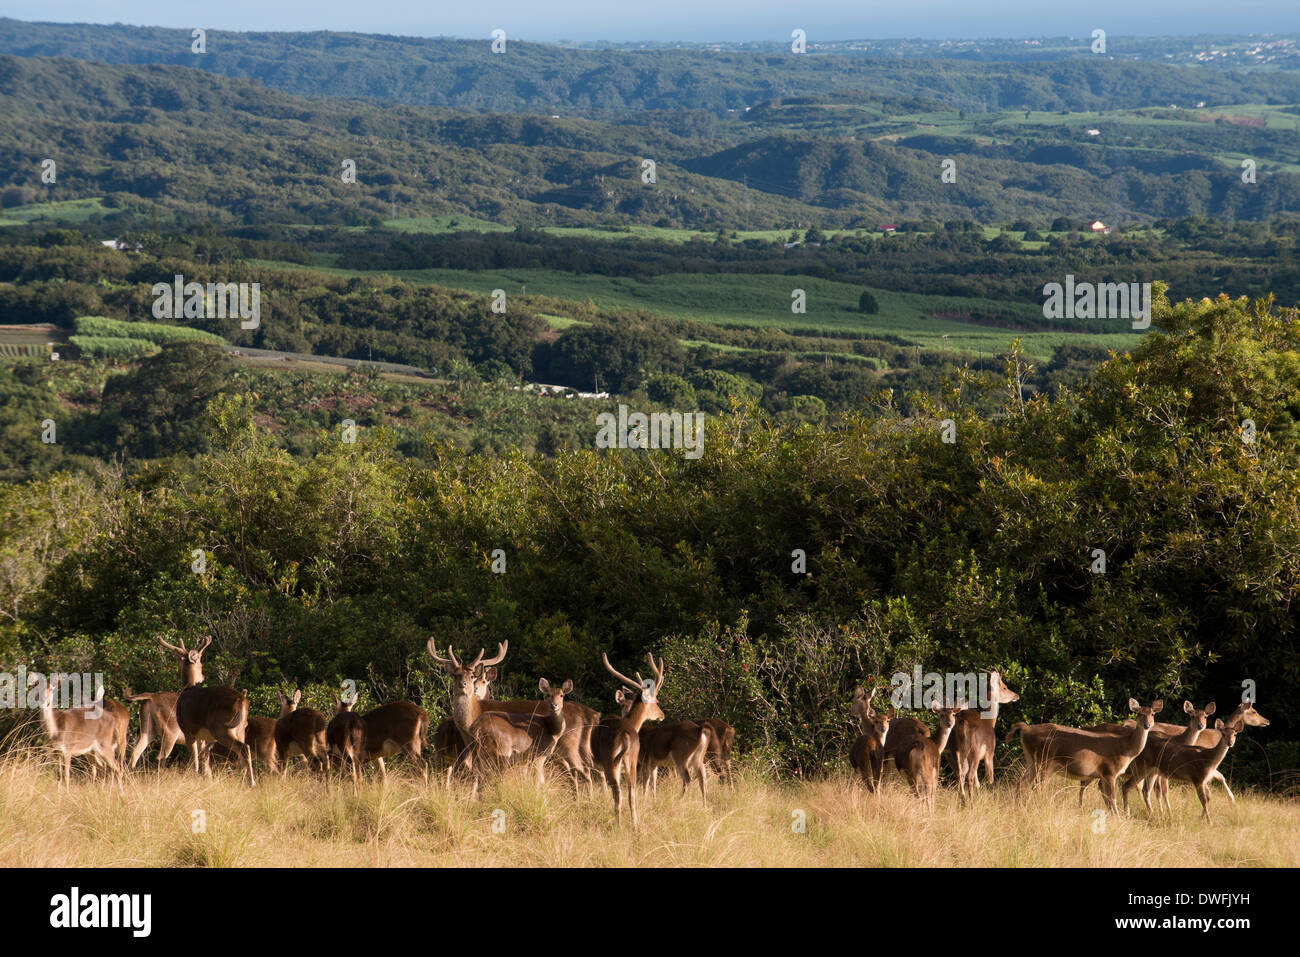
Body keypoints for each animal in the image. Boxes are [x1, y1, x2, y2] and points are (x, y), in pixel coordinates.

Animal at [157, 634, 253, 785]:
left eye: (200, 658)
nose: (202, 677)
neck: (187, 688)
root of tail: (242, 699)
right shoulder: (201, 736)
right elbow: (203, 758)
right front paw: (207, 778)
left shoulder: (188, 730)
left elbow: (194, 760)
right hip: (240, 728)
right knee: (243, 751)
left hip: (222, 728)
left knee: (244, 748)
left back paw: (251, 782)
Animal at [592, 655, 665, 826]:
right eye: (657, 701)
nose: (662, 715)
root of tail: (624, 734)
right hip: (630, 759)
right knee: (631, 792)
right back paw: (634, 824)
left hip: (611, 761)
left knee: (618, 792)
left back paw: (618, 824)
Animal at [941, 670, 1019, 806]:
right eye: (1004, 686)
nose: (1016, 695)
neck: (990, 721)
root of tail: (962, 723)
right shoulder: (989, 754)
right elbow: (990, 780)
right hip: (974, 754)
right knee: (969, 776)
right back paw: (971, 804)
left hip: (953, 752)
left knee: (960, 775)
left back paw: (963, 801)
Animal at [1003, 696, 1170, 811]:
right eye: (1139, 714)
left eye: (1153, 714)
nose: (1147, 724)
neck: (1126, 749)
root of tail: (1026, 729)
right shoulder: (1109, 771)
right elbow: (1112, 798)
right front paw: (1118, 816)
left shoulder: (1103, 774)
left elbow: (1107, 797)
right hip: (1044, 761)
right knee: (1036, 787)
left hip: (1031, 760)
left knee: (1021, 783)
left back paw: (1016, 807)